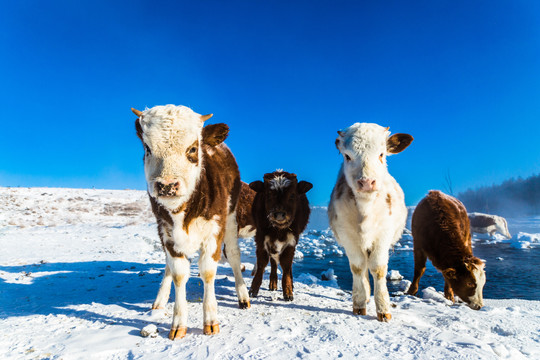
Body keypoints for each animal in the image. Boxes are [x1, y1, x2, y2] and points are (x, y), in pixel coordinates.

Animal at [249, 172, 312, 300]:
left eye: (292, 195)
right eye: (268, 194)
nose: (279, 214)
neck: (278, 231)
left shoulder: (291, 241)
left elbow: (286, 265)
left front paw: (288, 291)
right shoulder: (261, 239)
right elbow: (262, 263)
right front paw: (253, 289)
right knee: (273, 262)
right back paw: (273, 283)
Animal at [330, 123, 414, 320]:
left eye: (382, 154)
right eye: (347, 156)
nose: (367, 182)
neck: (365, 209)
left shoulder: (384, 234)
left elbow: (378, 268)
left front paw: (383, 309)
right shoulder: (347, 236)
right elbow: (357, 267)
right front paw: (360, 304)